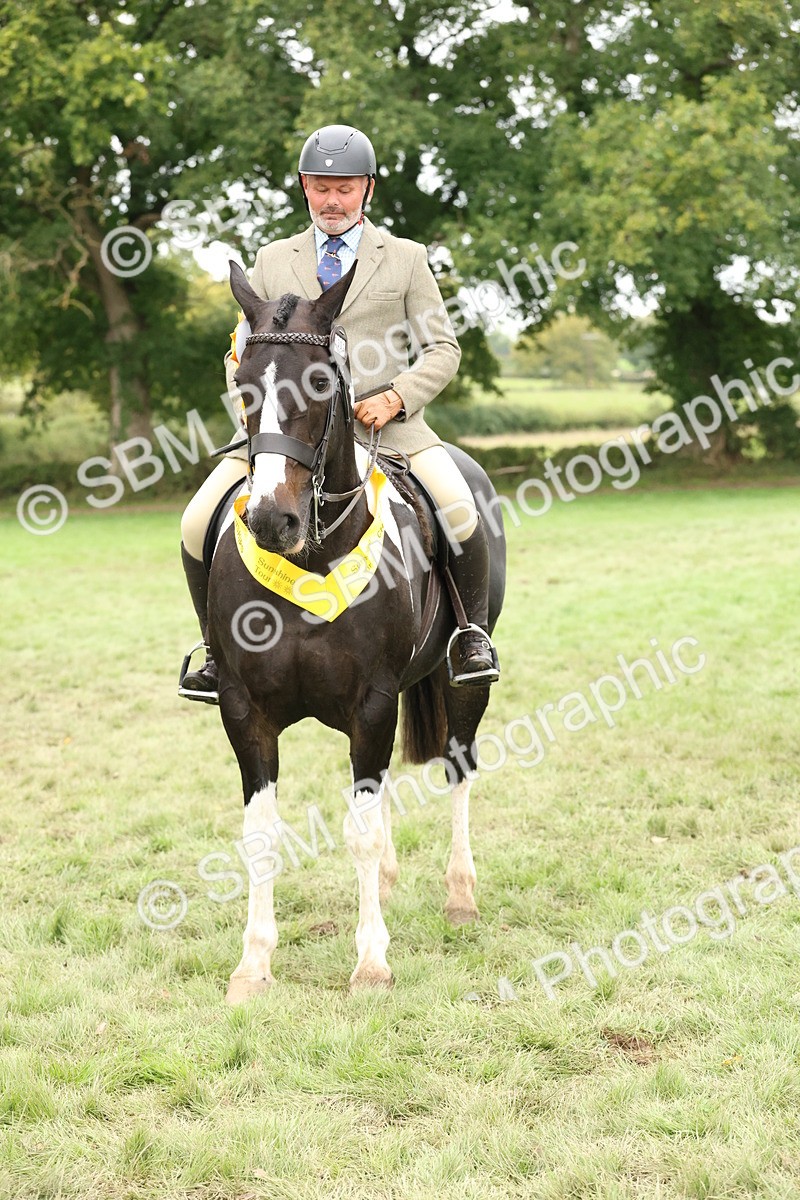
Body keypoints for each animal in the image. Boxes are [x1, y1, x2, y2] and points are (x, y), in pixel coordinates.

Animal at [208, 260, 505, 1002]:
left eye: (321, 382)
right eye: (242, 382)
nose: (270, 521)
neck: (313, 557)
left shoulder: (371, 703)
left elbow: (361, 832)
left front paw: (371, 962)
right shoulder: (245, 711)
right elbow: (262, 835)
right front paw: (253, 966)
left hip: (463, 680)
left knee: (459, 767)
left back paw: (460, 895)